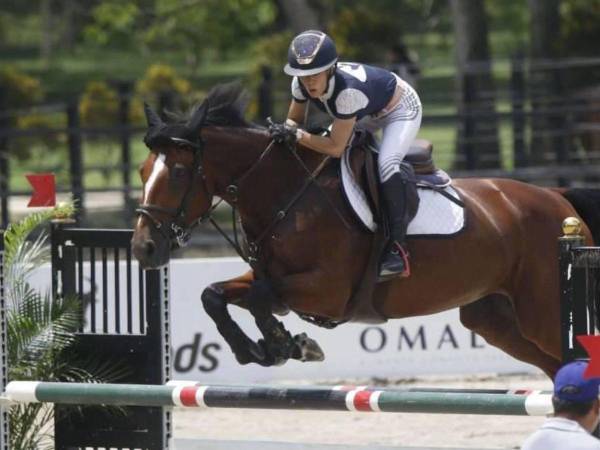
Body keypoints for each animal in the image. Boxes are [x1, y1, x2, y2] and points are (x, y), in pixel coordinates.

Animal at [131, 82, 600, 378]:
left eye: (177, 173)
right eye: (141, 171)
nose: (143, 249)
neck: (287, 192)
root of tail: (557, 198)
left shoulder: (328, 289)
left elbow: (262, 299)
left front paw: (285, 344)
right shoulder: (268, 276)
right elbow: (215, 296)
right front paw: (266, 348)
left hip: (543, 311)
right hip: (497, 320)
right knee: (558, 369)